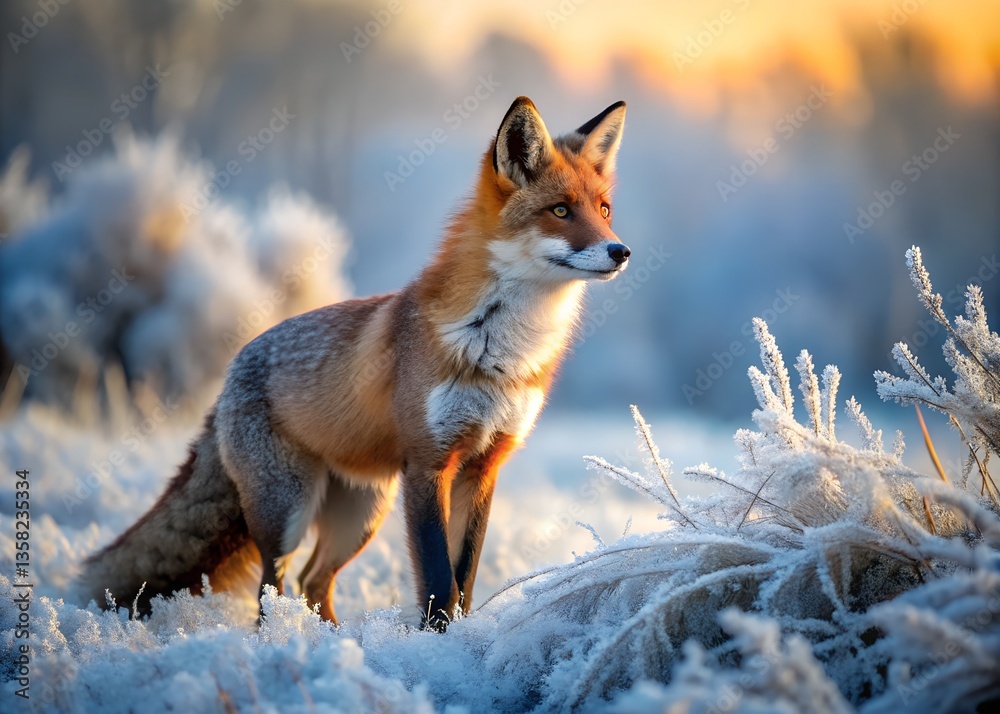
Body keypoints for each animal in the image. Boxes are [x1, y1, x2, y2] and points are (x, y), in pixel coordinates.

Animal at [80, 96, 631, 631]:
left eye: (604, 210)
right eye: (560, 210)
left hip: (362, 514)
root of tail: (230, 376)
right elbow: (438, 579)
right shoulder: (428, 464)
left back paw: (335, 642)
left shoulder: (484, 467)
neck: (501, 351)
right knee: (271, 589)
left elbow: (465, 576)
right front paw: (437, 645)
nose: (620, 250)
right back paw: (283, 641)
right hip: (289, 511)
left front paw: (462, 640)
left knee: (313, 581)